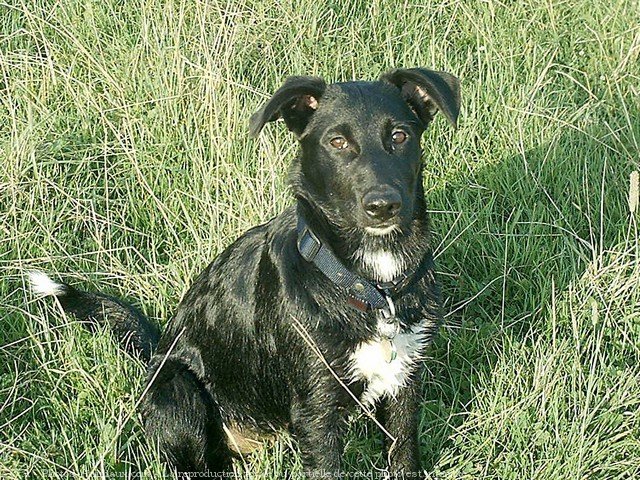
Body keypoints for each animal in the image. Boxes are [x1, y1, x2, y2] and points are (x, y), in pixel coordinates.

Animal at [31, 68, 460, 480]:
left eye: (400, 136)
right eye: (338, 142)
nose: (383, 206)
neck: (370, 283)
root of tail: (157, 350)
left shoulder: (404, 385)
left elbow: (403, 457)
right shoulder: (317, 413)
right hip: (178, 391)